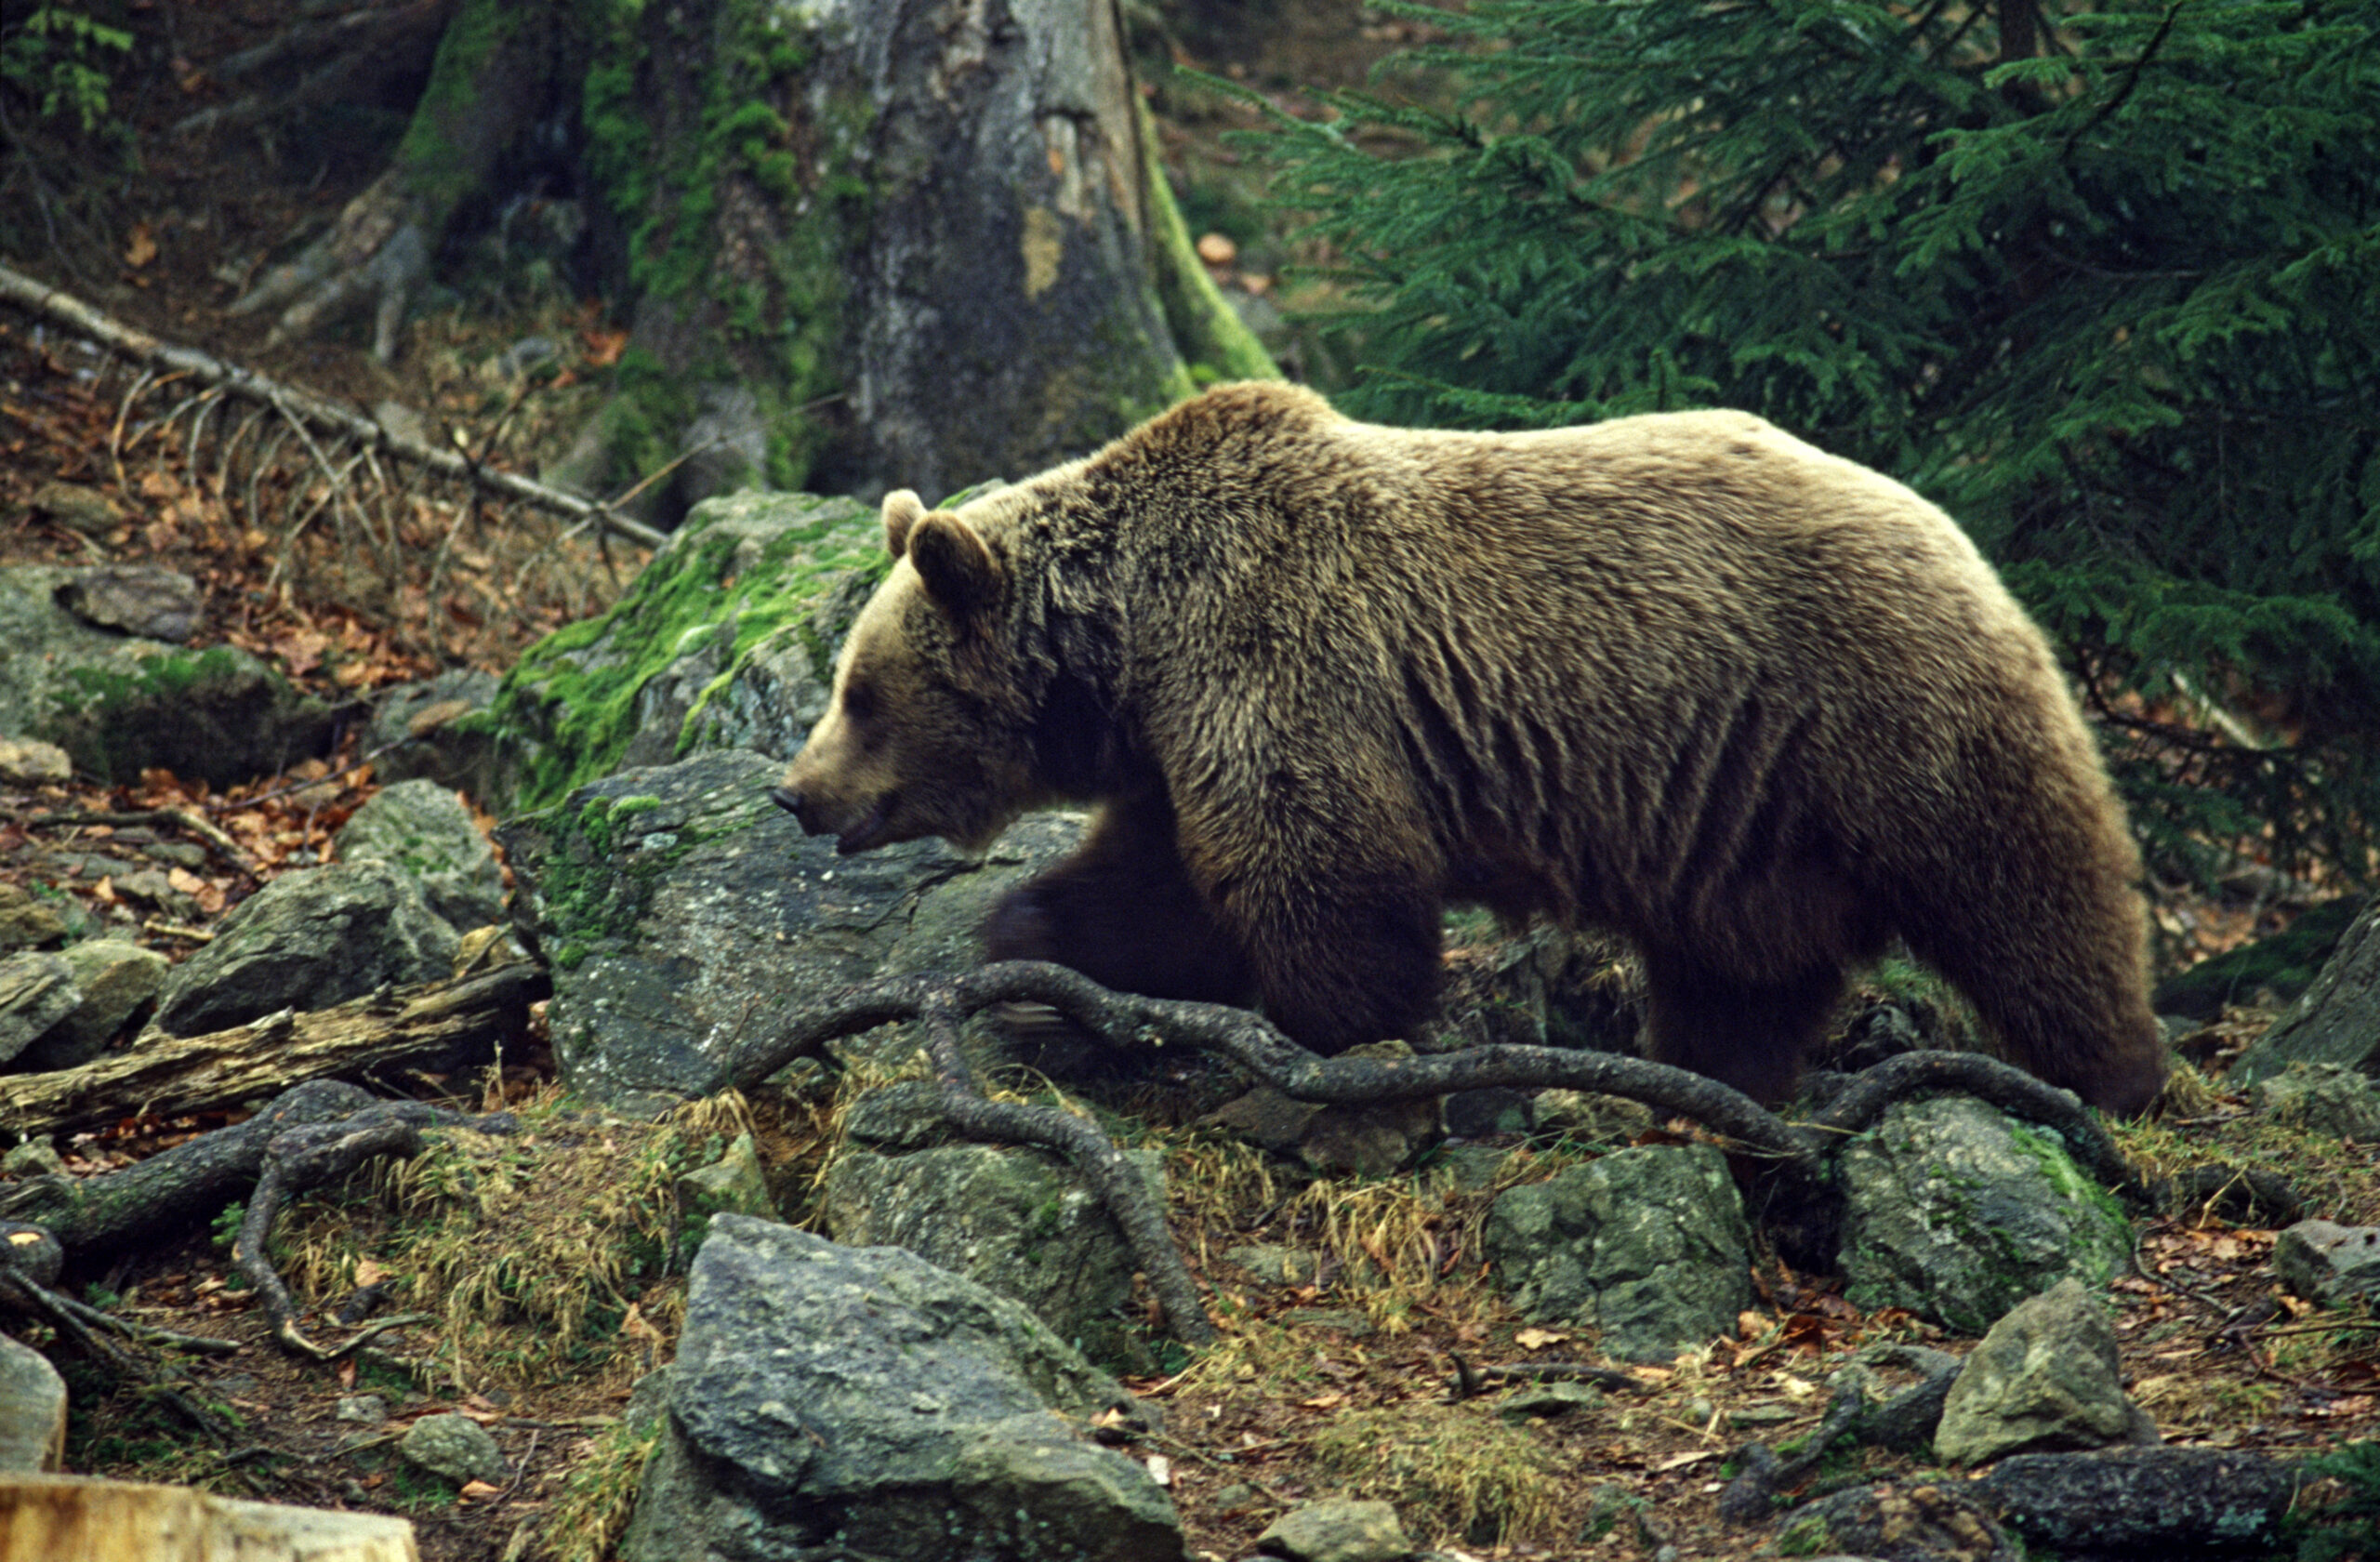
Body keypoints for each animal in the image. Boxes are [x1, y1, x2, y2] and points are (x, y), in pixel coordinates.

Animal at [780, 380, 2179, 1114]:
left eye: (860, 690)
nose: (798, 793)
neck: (1134, 647)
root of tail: (1964, 537)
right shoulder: (1183, 742)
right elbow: (1156, 888)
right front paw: (1026, 953)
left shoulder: (1284, 667)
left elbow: (1327, 877)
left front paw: (1332, 1032)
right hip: (1745, 817)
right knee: (1743, 963)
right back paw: (1709, 1070)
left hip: (1877, 718)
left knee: (2026, 896)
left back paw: (2110, 1077)